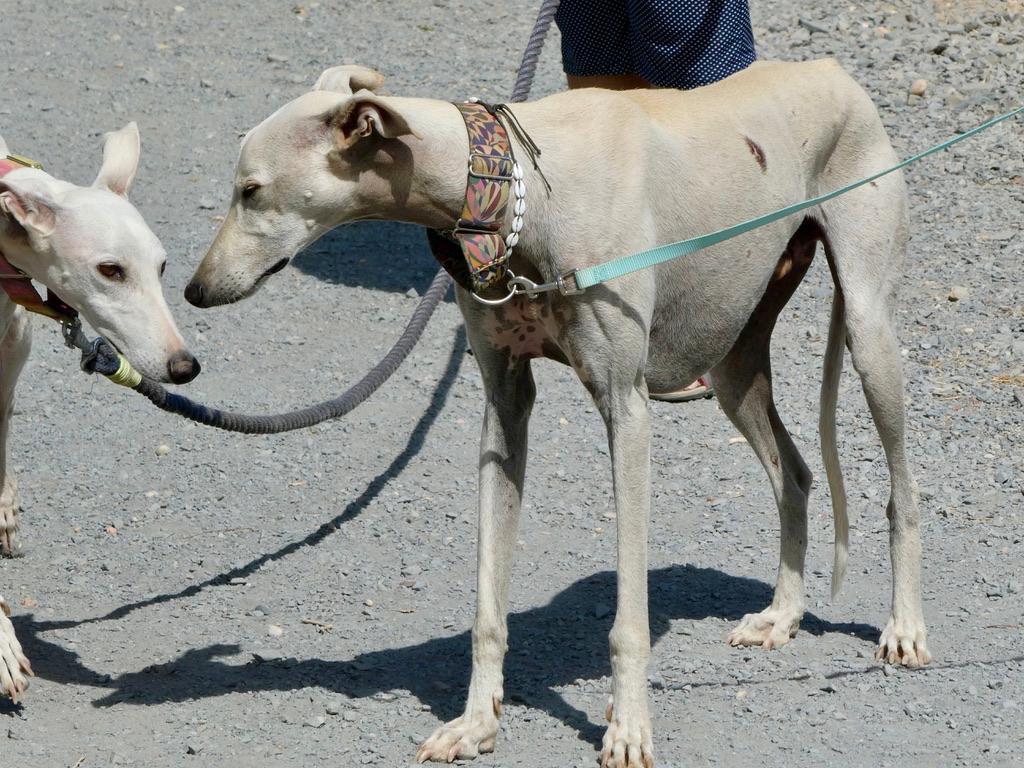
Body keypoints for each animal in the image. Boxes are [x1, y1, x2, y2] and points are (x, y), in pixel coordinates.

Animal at [186, 60, 930, 767]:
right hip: (733, 359)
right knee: (796, 475)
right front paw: (476, 723)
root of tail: (832, 71)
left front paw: (628, 730)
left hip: (866, 332)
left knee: (901, 491)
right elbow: (488, 601)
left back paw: (905, 628)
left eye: (251, 190)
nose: (193, 289)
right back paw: (782, 615)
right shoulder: (503, 405)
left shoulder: (626, 408)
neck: (518, 189)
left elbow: (628, 620)